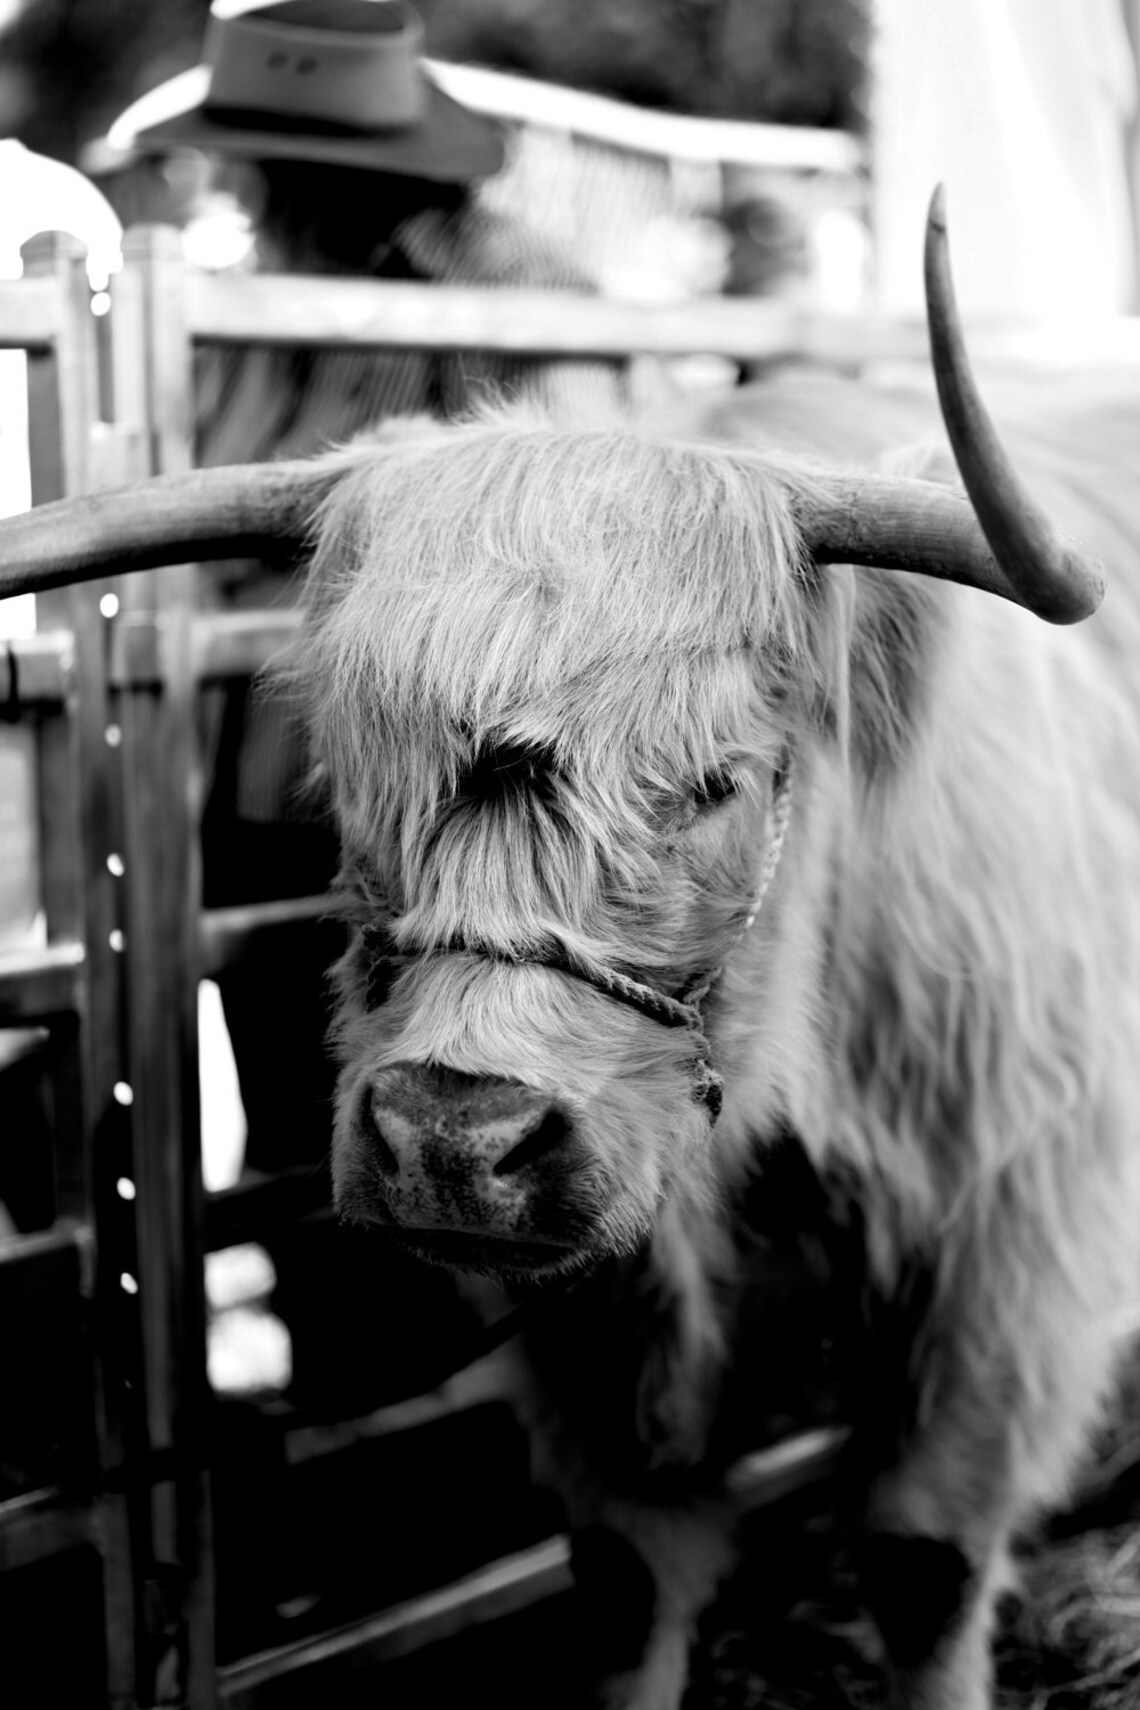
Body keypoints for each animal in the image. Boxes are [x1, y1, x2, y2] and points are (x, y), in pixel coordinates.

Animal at [4, 194, 1140, 1709]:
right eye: (346, 770)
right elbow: (625, 1582)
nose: (453, 1135)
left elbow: (923, 1559)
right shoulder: (590, 1326)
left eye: (721, 780)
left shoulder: (1014, 1249)